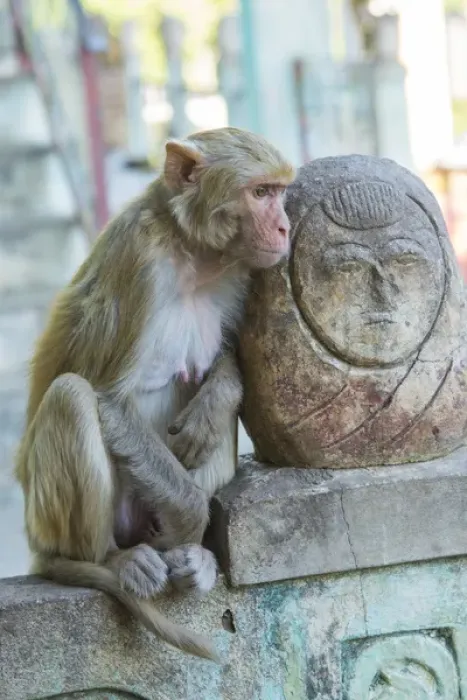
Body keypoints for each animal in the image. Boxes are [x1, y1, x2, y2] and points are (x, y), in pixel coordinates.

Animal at [14, 127, 295, 660]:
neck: (192, 253)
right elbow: (107, 398)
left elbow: (223, 366)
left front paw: (216, 400)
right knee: (71, 397)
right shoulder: (138, 262)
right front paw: (190, 519)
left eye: (281, 192)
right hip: (52, 522)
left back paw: (197, 556)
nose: (286, 227)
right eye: (260, 193)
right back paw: (112, 558)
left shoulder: (240, 273)